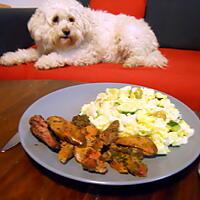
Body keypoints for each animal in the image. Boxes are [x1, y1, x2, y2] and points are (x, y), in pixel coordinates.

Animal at [0, 0, 167, 69]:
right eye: (55, 19)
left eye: (71, 19)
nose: (66, 31)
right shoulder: (41, 50)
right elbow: (25, 53)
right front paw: (9, 58)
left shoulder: (83, 54)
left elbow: (61, 56)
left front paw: (45, 61)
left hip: (128, 36)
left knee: (140, 57)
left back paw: (131, 62)